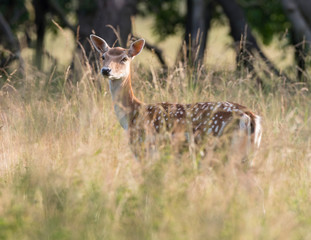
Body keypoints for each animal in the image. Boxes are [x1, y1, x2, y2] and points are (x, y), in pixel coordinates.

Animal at [90, 33, 264, 165]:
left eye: (124, 58)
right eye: (103, 56)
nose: (106, 70)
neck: (132, 114)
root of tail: (250, 116)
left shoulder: (145, 149)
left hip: (221, 149)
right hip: (248, 153)